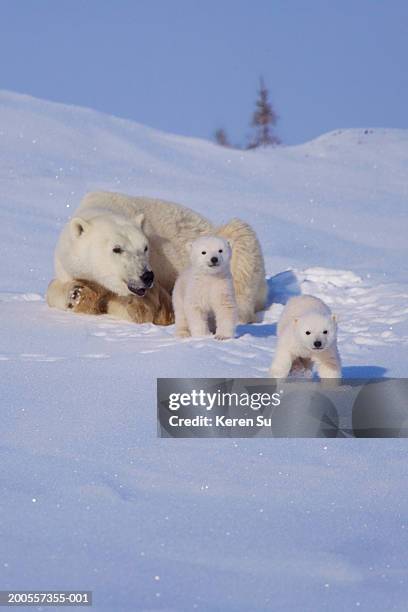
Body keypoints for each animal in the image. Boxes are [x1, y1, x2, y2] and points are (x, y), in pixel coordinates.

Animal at [47, 191, 268, 326]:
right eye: (117, 249)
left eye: (145, 248)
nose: (146, 275)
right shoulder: (69, 264)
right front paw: (75, 294)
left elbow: (145, 307)